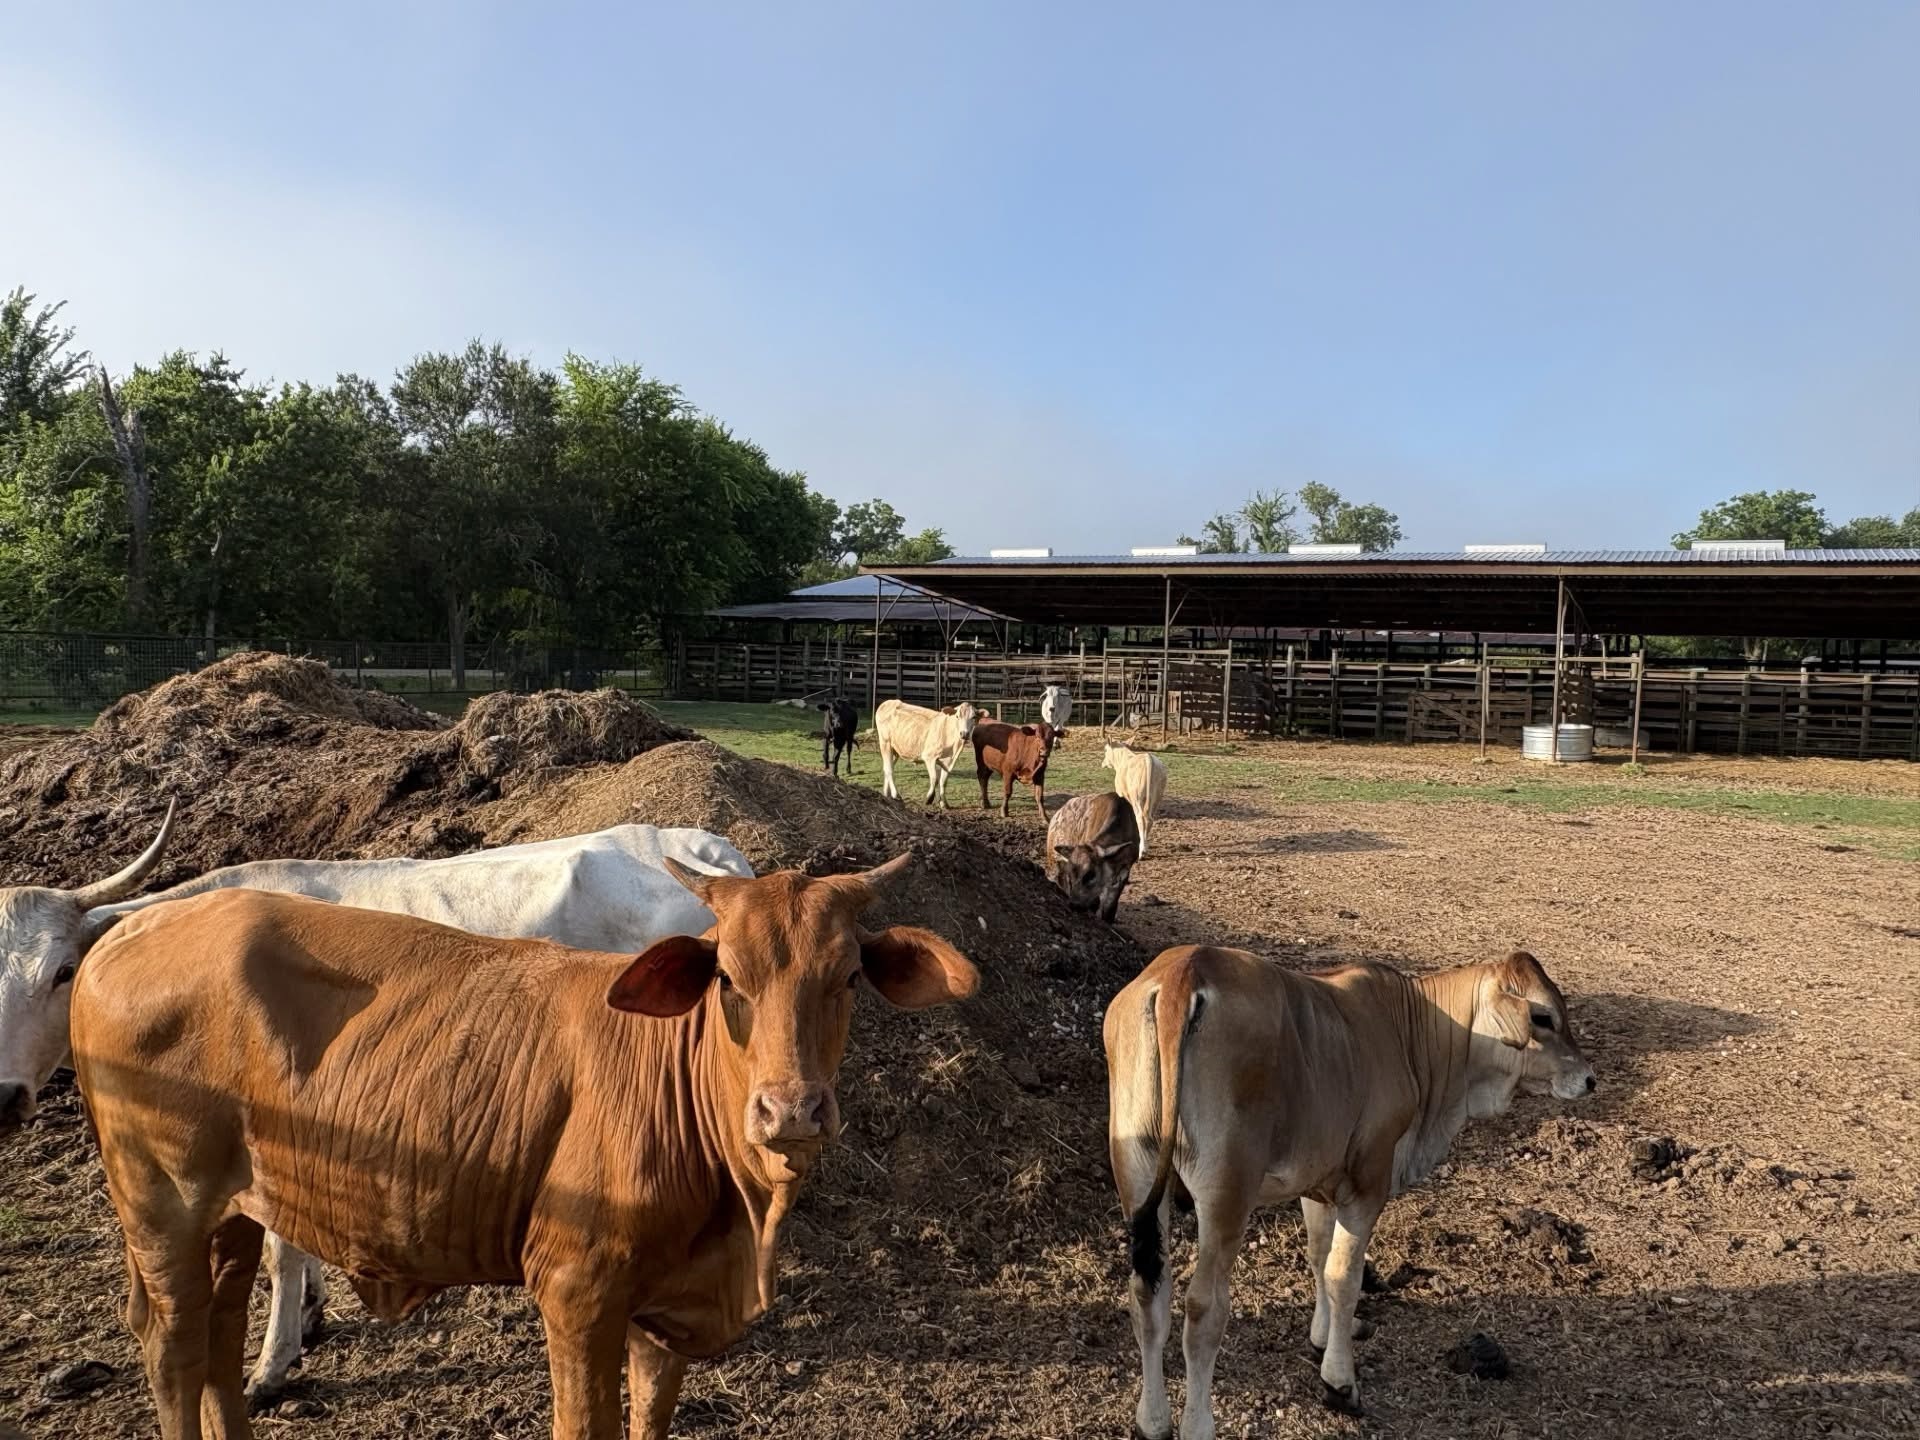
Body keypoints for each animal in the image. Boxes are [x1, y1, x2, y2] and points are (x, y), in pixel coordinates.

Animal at [1, 813, 754, 1401]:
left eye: (62, 970)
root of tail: (704, 849)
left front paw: (272, 1365)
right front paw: (308, 1317)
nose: (5, 1095)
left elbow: (281, 1250)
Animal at [73, 854, 977, 1440]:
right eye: (728, 978)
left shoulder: (663, 1310)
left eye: (849, 978)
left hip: (231, 1212)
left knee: (220, 1339)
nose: (790, 1109)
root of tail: (138, 926)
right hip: (161, 1204)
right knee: (174, 1348)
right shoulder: (576, 1292)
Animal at [1046, 792, 1139, 923]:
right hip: (1054, 861)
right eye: (1072, 875)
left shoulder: (1124, 872)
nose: (1074, 904)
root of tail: (1057, 815)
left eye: (1091, 874)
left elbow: (1110, 907)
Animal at [1106, 946, 1595, 1436]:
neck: (1412, 1029)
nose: (1589, 1079)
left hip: (1138, 1175)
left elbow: (1319, 1257)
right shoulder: (1367, 1183)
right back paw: (1197, 1423)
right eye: (1543, 1016)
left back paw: (1151, 1420)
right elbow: (1344, 1276)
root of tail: (1185, 970)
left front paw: (1322, 1339)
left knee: (1147, 1293)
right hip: (1226, 1192)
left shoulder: (1318, 1181)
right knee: (1204, 1308)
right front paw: (1340, 1382)